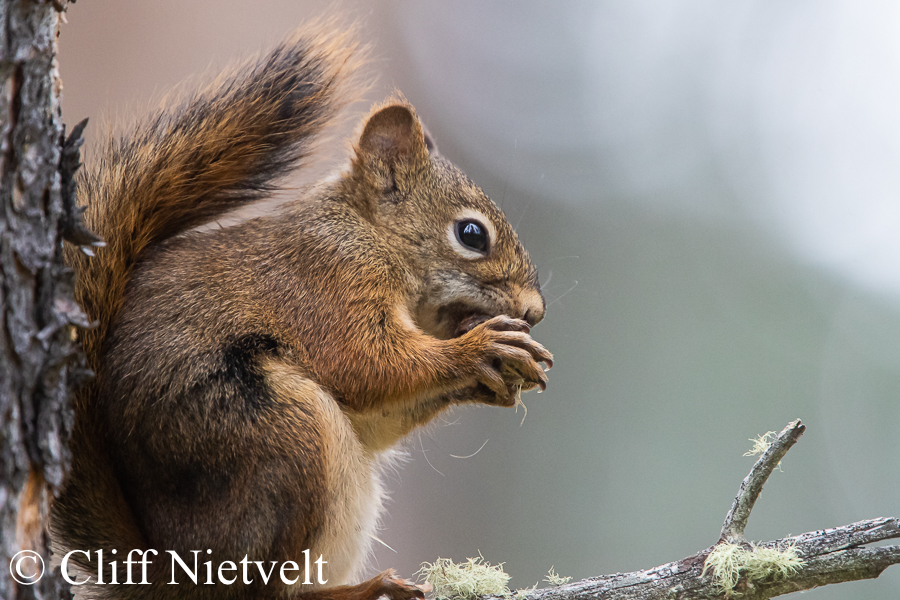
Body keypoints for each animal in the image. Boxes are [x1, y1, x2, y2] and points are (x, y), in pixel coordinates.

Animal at [51, 24, 553, 600]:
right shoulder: (328, 282)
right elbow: (364, 364)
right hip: (284, 437)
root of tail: (174, 574)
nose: (535, 311)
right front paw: (480, 348)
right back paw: (361, 589)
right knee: (265, 590)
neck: (368, 232)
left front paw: (499, 372)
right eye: (471, 234)